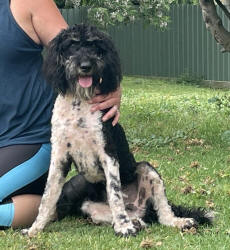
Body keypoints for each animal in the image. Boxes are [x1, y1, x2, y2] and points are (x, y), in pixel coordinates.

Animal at [21, 23, 212, 236]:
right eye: (72, 44)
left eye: (95, 46)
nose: (85, 66)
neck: (80, 104)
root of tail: (139, 209)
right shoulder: (59, 156)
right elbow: (48, 195)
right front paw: (34, 229)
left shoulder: (108, 153)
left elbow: (114, 192)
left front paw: (123, 227)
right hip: (89, 205)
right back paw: (136, 222)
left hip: (147, 170)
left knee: (163, 214)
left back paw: (177, 221)